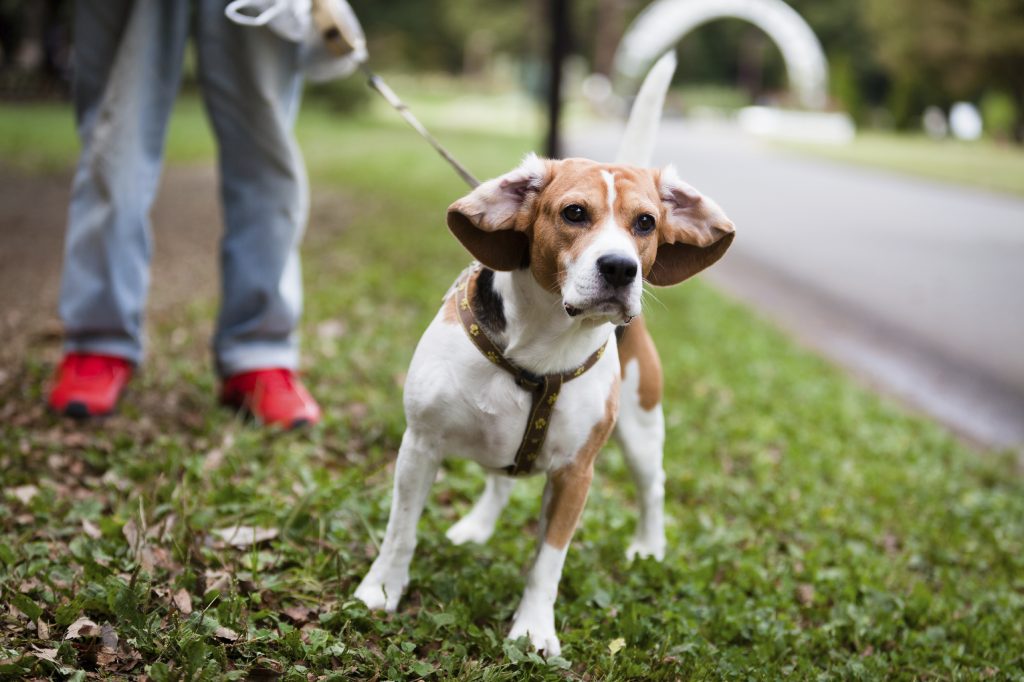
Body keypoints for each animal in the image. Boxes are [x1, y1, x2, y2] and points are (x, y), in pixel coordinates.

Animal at [356, 62, 733, 655]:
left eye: (646, 223)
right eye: (574, 213)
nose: (622, 268)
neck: (541, 346)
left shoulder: (576, 475)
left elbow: (547, 563)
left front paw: (533, 629)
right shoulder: (419, 445)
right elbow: (401, 530)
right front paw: (383, 589)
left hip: (641, 427)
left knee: (652, 487)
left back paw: (649, 546)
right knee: (502, 479)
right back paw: (477, 527)